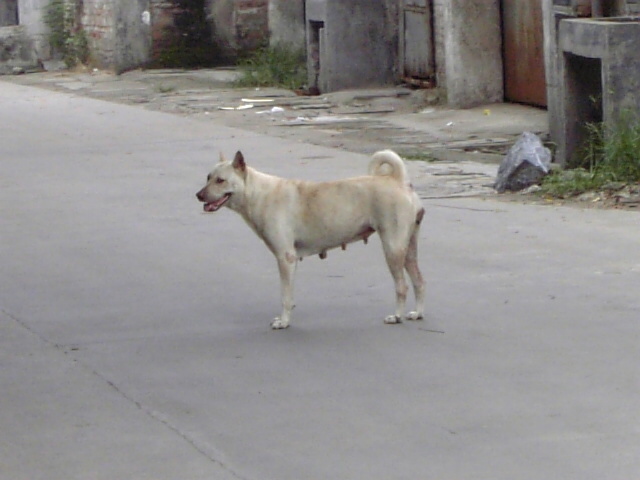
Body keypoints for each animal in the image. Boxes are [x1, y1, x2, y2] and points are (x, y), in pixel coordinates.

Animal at [195, 151, 424, 330]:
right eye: (208, 177)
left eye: (220, 180)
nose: (198, 195)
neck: (257, 193)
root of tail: (398, 180)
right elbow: (289, 295)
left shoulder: (285, 258)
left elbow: (285, 295)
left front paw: (284, 322)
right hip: (409, 249)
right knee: (419, 281)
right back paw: (417, 313)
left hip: (393, 249)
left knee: (402, 286)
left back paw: (397, 316)